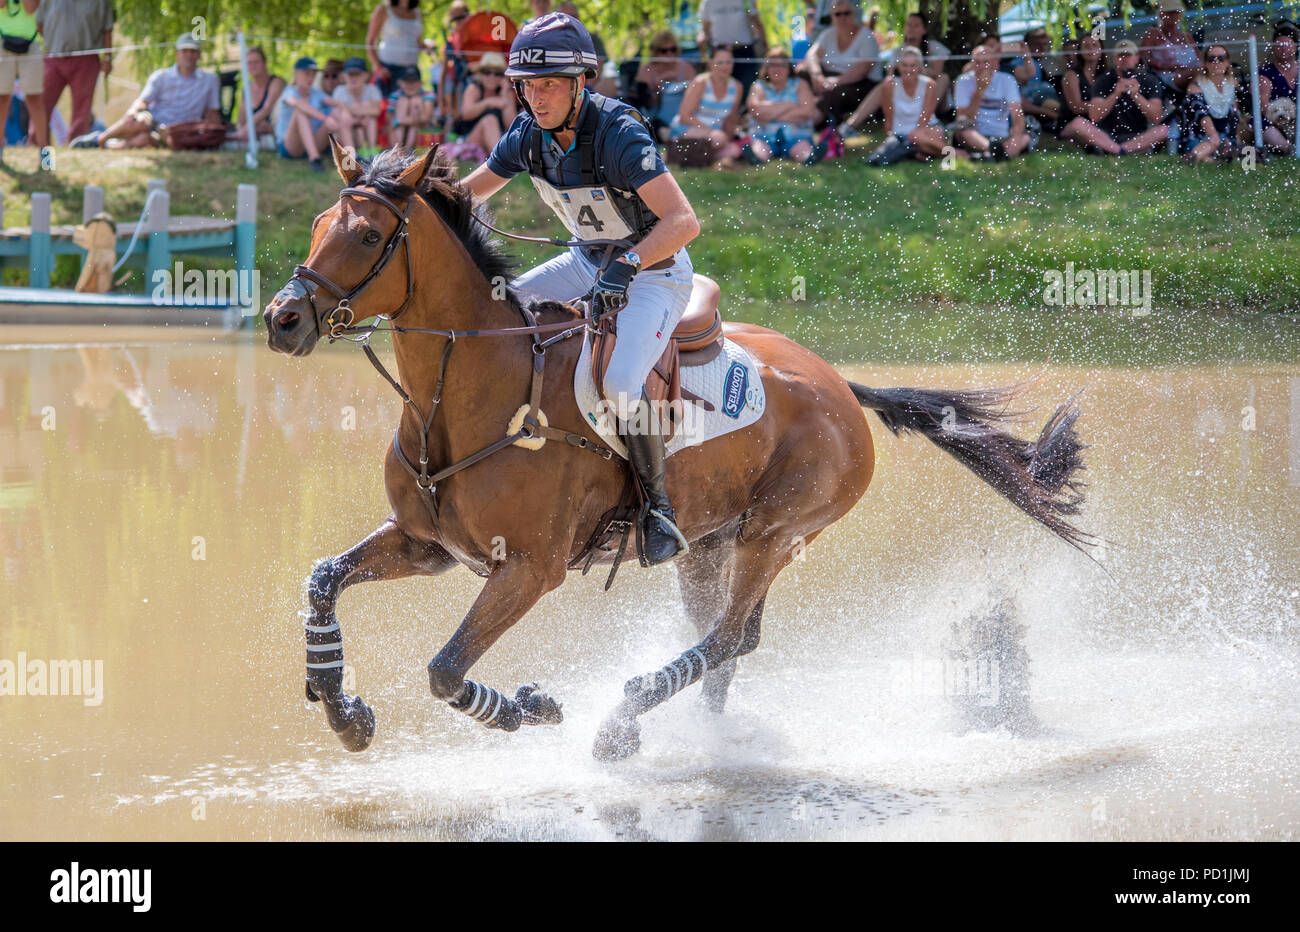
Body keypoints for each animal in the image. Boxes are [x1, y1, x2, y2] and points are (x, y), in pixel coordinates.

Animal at [261, 141, 1086, 759]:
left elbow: (445, 669)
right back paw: (698, 736)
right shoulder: (427, 544)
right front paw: (341, 707)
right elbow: (323, 579)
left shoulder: (527, 569)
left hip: (775, 533)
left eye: (369, 236)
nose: (282, 319)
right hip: (709, 542)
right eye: (318, 223)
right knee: (731, 641)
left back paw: (623, 723)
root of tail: (842, 386)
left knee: (725, 638)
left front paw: (531, 705)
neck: (463, 399)